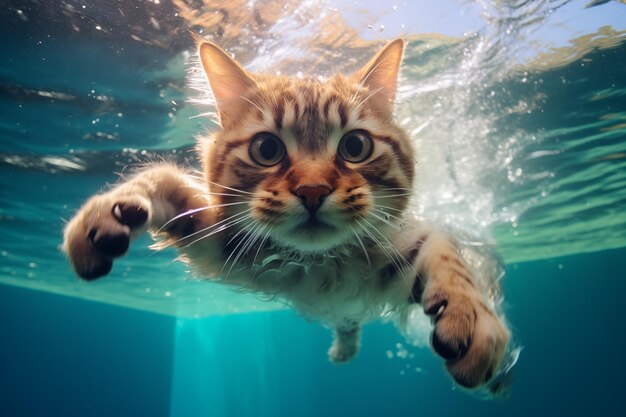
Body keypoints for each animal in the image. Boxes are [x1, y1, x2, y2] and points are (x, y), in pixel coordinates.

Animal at [63, 37, 510, 388]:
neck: (318, 266)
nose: (313, 190)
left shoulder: (394, 247)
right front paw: (110, 213)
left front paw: (473, 318)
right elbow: (161, 177)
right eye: (267, 149)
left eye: (355, 146)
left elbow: (448, 257)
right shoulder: (221, 240)